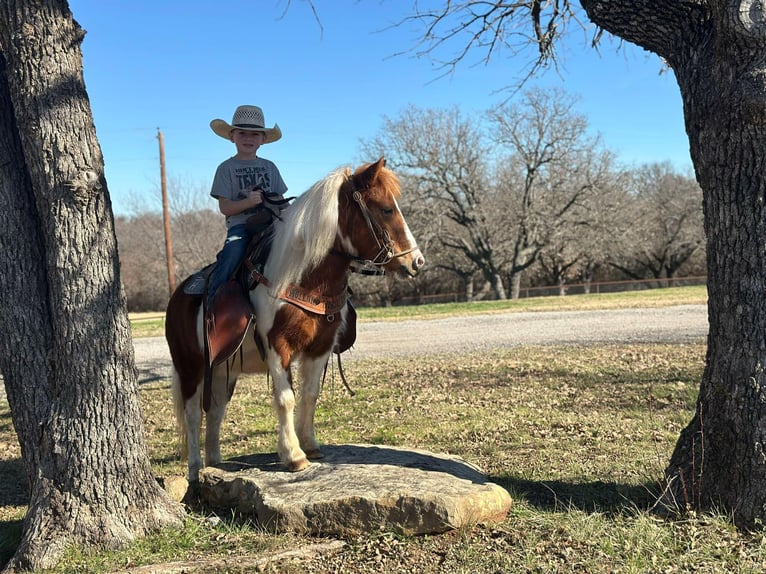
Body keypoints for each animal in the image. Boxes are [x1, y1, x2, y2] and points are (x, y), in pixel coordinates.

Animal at [165, 158, 425, 481]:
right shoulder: (278, 347)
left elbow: (310, 394)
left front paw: (310, 445)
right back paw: (195, 468)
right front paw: (293, 455)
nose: (416, 261)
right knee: (192, 414)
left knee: (215, 410)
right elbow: (285, 398)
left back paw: (215, 463)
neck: (299, 278)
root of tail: (177, 297)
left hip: (224, 370)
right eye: (386, 209)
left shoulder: (320, 347)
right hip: (190, 368)